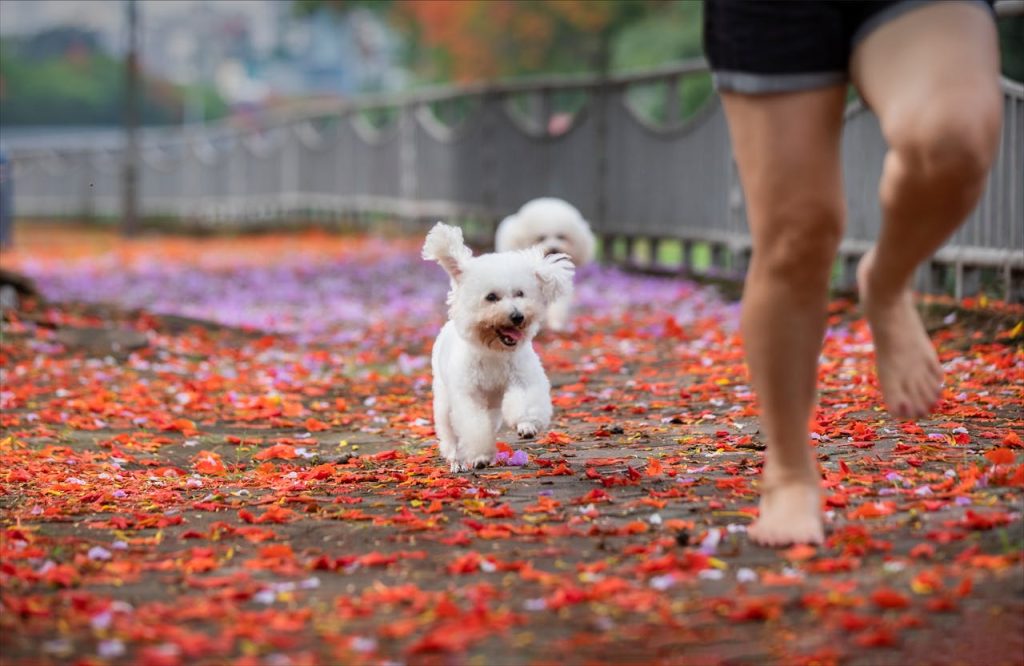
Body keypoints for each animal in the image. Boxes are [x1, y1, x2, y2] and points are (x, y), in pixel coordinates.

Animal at [419, 220, 573, 469]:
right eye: (491, 297)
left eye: (520, 293)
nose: (518, 316)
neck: (494, 351)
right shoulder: (468, 395)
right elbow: (473, 426)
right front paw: (479, 456)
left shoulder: (523, 378)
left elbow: (526, 401)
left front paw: (527, 425)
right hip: (444, 399)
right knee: (450, 433)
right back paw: (456, 460)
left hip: (492, 406)